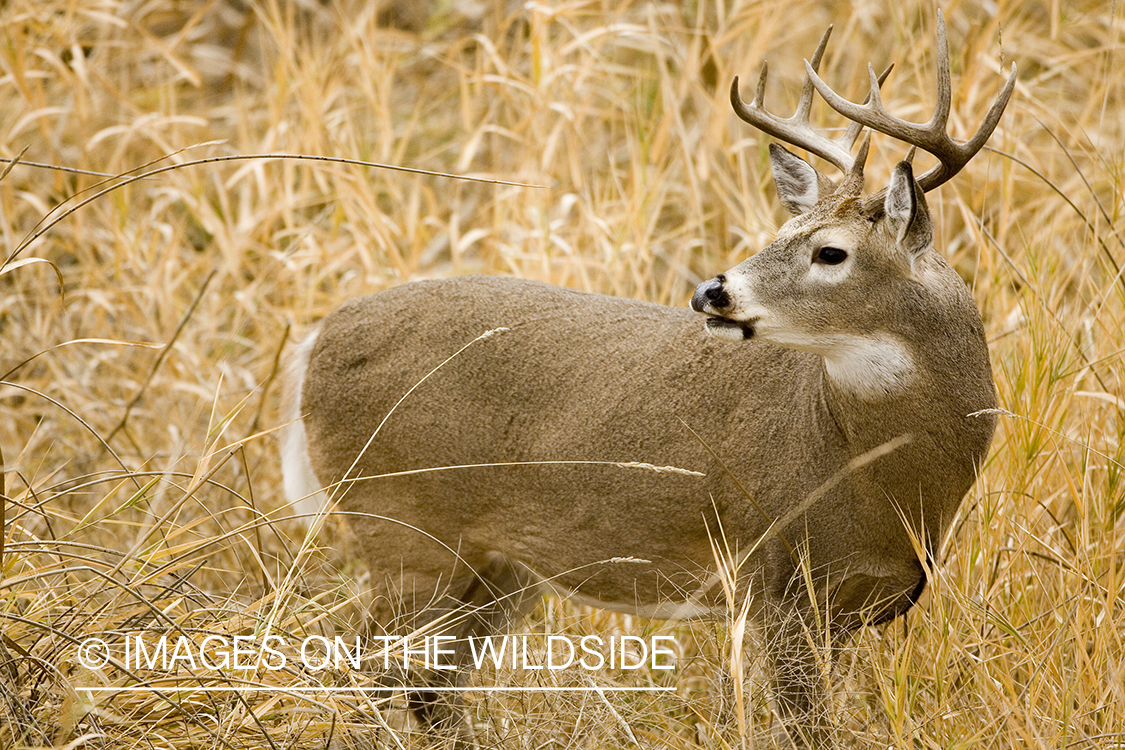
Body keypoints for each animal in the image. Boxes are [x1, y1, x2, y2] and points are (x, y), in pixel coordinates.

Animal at [279, 10, 1012, 746]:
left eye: (830, 253)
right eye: (780, 233)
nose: (711, 292)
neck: (882, 478)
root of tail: (319, 337)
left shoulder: (855, 603)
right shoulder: (778, 582)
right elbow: (806, 728)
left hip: (497, 567)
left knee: (430, 685)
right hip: (402, 527)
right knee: (360, 670)